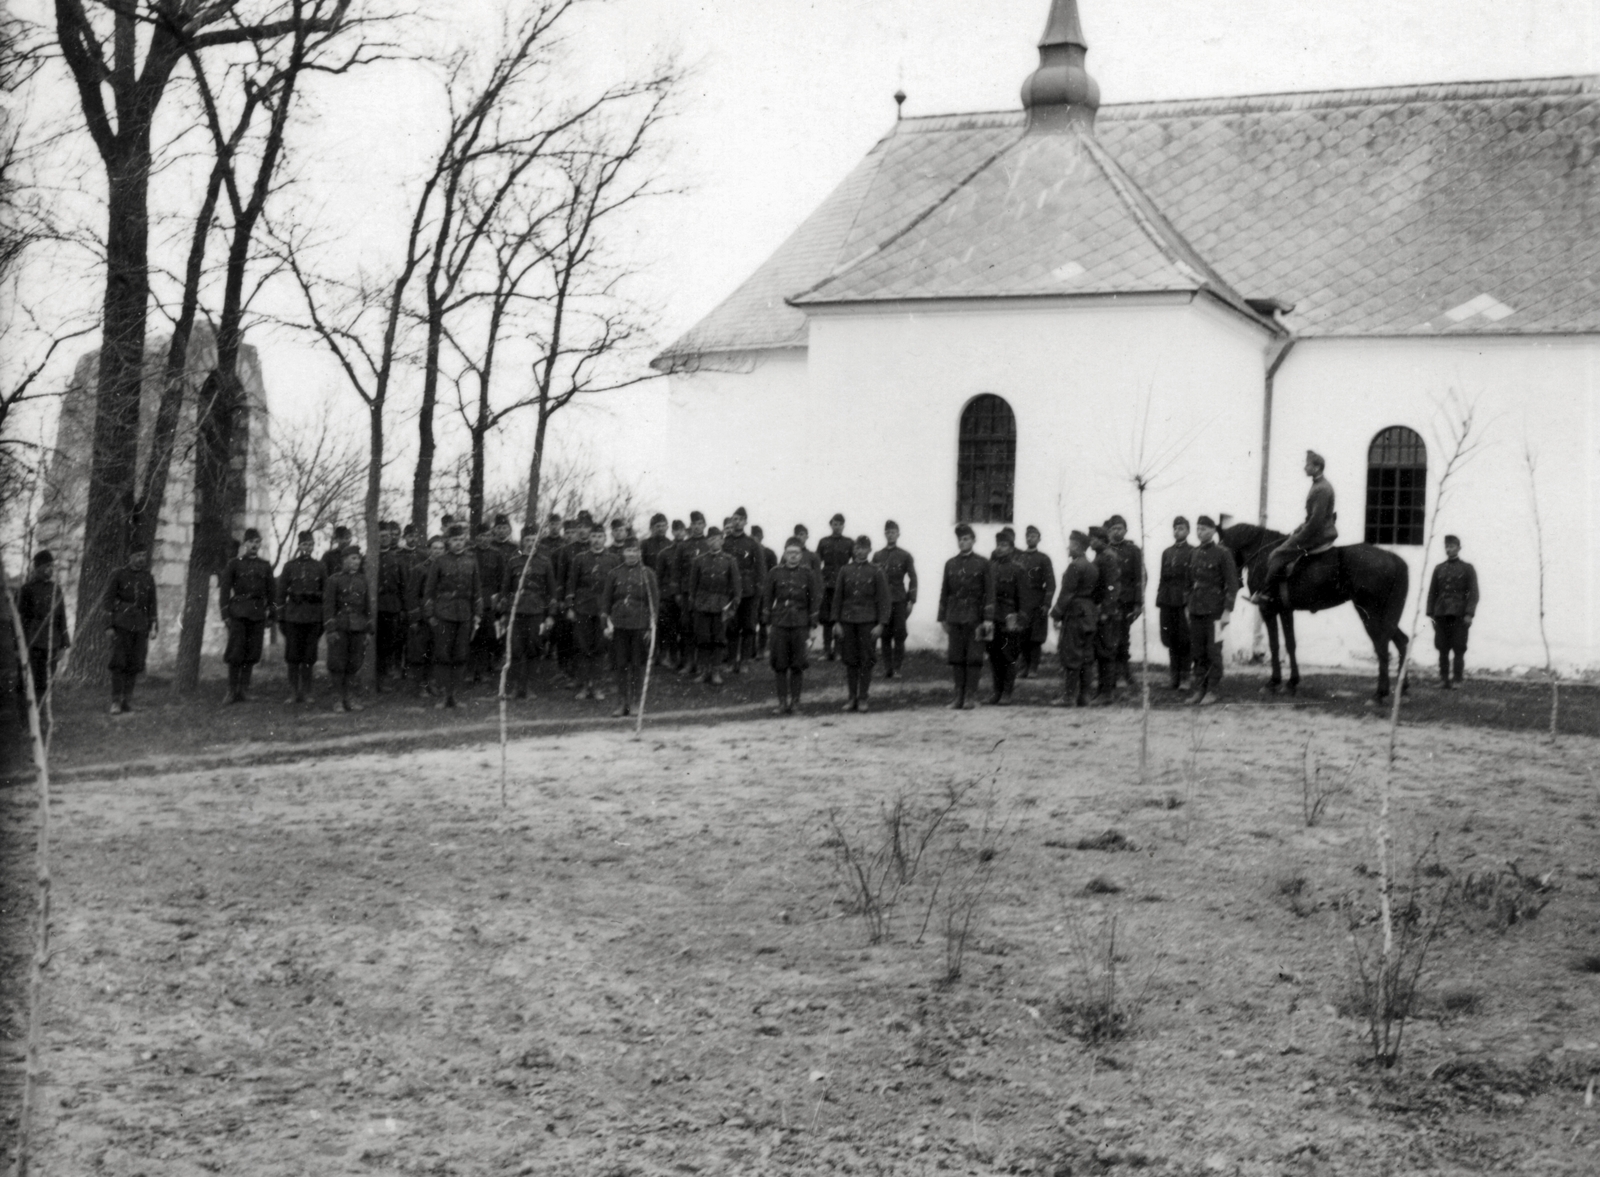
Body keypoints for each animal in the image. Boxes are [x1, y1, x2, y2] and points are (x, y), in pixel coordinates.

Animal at [1216, 521, 1408, 697]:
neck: (1263, 554)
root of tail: (1392, 557)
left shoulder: (1268, 609)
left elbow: (1274, 645)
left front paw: (1274, 682)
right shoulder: (1285, 611)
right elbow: (1290, 644)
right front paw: (1291, 682)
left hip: (1370, 613)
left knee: (1382, 645)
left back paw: (1380, 693)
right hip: (1384, 615)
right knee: (1401, 641)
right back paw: (1401, 688)